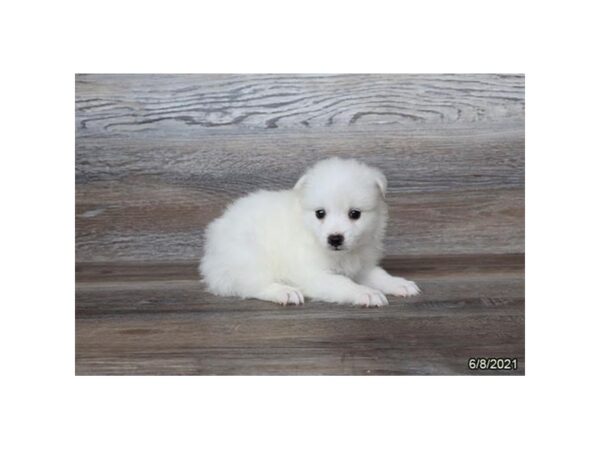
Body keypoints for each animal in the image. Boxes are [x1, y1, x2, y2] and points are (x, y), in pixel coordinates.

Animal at [199, 156, 420, 308]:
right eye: (320, 213)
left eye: (355, 214)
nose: (335, 238)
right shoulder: (313, 274)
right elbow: (342, 283)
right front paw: (365, 292)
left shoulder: (361, 266)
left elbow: (379, 274)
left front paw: (398, 283)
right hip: (248, 258)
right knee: (252, 285)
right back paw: (284, 291)